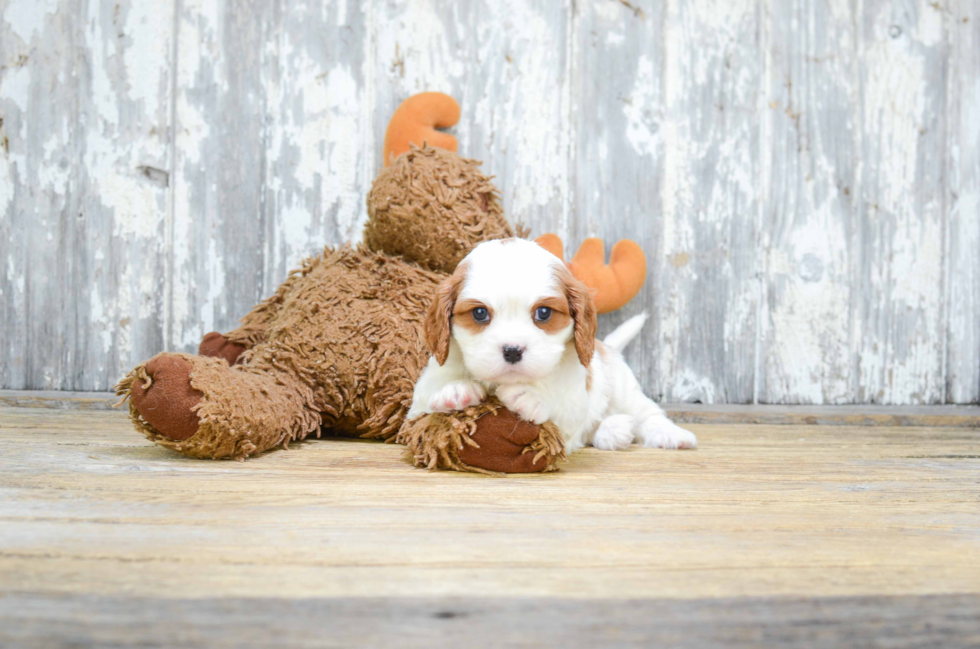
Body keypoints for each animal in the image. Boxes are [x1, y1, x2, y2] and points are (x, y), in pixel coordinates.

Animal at [406, 235, 696, 454]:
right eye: (479, 313)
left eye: (543, 313)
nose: (512, 350)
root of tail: (608, 347)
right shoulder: (414, 412)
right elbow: (425, 404)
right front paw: (454, 391)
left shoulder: (575, 401)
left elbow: (561, 407)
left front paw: (531, 397)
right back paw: (614, 431)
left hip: (624, 389)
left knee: (647, 413)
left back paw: (669, 434)